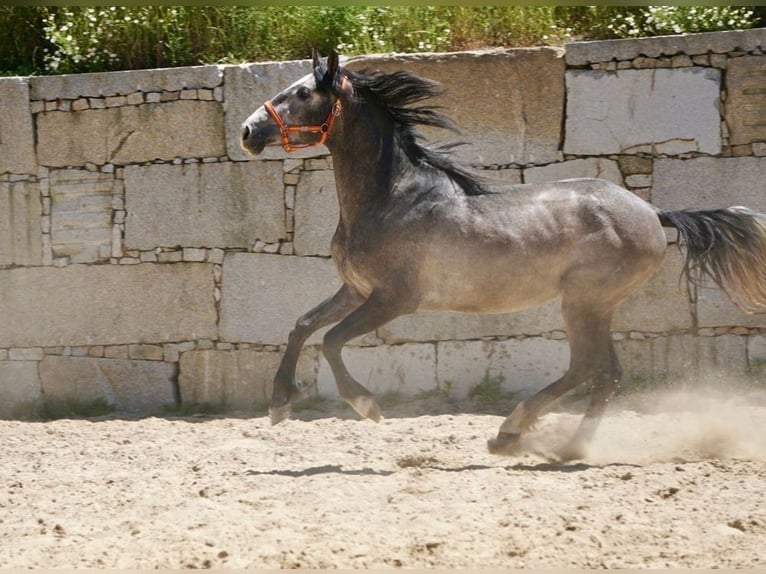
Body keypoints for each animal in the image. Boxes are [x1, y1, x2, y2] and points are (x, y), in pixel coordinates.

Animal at [240, 50, 766, 464]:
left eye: (302, 93)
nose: (247, 131)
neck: (391, 196)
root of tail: (653, 212)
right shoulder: (356, 289)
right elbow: (302, 326)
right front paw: (278, 405)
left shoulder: (394, 299)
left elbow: (331, 341)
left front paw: (365, 405)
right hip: (599, 305)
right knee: (608, 373)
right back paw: (562, 448)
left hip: (584, 302)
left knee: (587, 367)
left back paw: (511, 432)